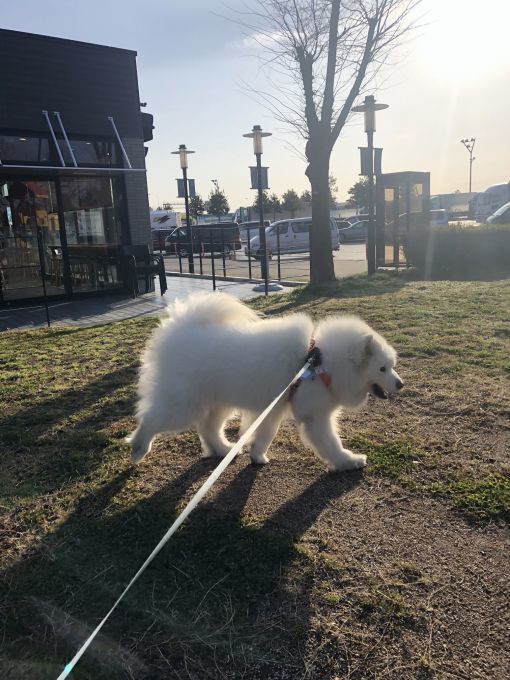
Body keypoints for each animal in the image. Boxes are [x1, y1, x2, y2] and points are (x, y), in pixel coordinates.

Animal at [126, 292, 402, 472]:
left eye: (392, 366)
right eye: (382, 368)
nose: (401, 384)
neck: (320, 360)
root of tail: (180, 328)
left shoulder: (273, 410)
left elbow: (265, 435)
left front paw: (257, 456)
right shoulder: (315, 417)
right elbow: (330, 443)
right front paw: (349, 461)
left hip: (217, 404)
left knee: (208, 428)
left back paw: (223, 449)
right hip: (183, 406)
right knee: (150, 420)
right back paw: (139, 448)